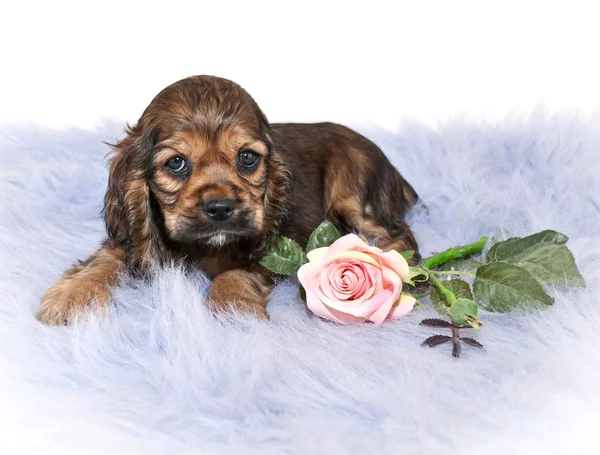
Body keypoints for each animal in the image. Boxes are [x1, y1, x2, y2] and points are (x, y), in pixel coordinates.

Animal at [37, 75, 420, 324]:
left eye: (247, 158)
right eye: (176, 163)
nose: (220, 208)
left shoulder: (271, 243)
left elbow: (235, 272)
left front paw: (234, 309)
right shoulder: (134, 236)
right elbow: (104, 258)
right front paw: (69, 297)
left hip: (356, 195)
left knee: (399, 238)